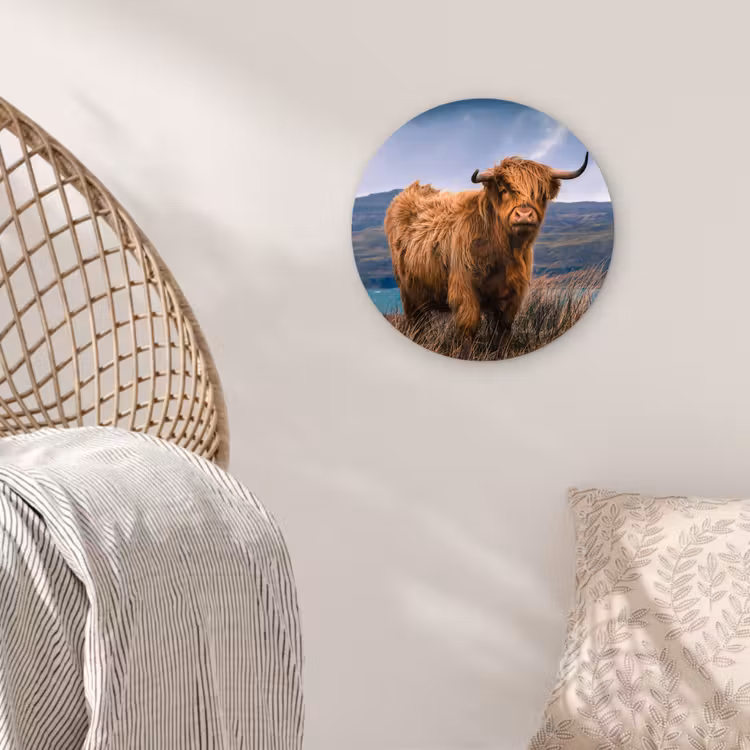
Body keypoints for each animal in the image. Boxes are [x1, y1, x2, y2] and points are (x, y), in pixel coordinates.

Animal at [384, 152, 589, 358]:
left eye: (540, 193)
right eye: (505, 190)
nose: (524, 215)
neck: (504, 252)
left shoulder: (513, 293)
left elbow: (503, 329)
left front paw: (500, 354)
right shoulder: (464, 289)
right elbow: (469, 328)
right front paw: (467, 356)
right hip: (408, 291)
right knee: (416, 323)